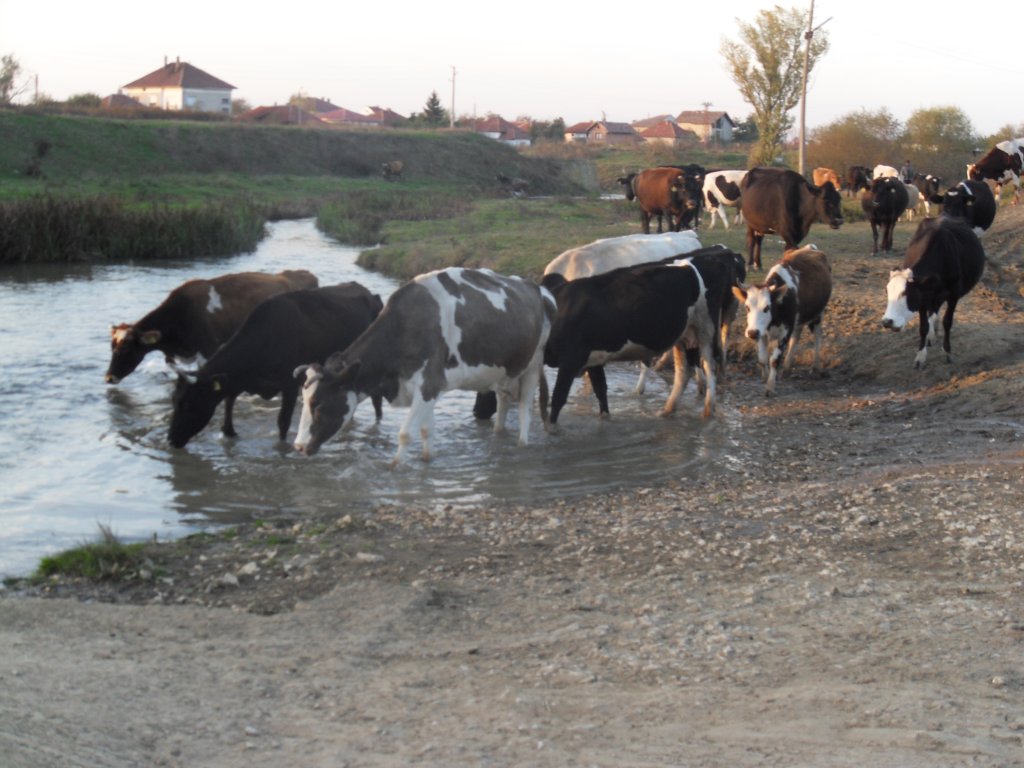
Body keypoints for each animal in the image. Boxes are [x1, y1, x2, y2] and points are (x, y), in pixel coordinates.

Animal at [168, 282, 384, 448]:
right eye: (174, 401)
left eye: (187, 404)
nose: (170, 440)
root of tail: (369, 293)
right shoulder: (238, 382)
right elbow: (228, 407)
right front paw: (229, 432)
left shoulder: (290, 385)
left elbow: (283, 422)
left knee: (377, 401)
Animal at [293, 268, 555, 464]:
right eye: (304, 401)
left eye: (318, 404)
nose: (298, 446)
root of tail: (536, 287)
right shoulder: (426, 389)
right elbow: (426, 431)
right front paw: (427, 462)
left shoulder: (430, 383)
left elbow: (406, 433)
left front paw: (395, 467)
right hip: (505, 370)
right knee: (503, 400)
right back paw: (499, 436)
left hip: (533, 364)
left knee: (525, 408)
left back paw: (521, 445)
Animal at [541, 260, 719, 425]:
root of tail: (685, 265)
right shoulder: (593, 360)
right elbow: (601, 391)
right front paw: (604, 418)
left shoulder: (571, 360)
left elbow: (558, 398)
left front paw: (552, 427)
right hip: (683, 338)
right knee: (684, 372)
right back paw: (667, 411)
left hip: (705, 329)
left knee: (709, 368)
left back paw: (707, 411)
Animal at [732, 246, 832, 397]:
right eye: (747, 307)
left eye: (767, 307)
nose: (751, 333)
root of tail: (810, 248)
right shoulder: (763, 332)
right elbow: (762, 358)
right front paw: (765, 376)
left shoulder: (785, 331)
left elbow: (774, 359)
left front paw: (770, 387)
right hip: (798, 320)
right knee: (796, 336)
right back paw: (787, 368)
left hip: (818, 314)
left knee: (818, 336)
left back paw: (815, 367)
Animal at [881, 216, 986, 369]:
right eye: (887, 292)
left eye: (906, 293)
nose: (887, 321)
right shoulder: (922, 298)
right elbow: (923, 327)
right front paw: (920, 356)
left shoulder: (953, 295)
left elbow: (947, 321)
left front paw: (947, 352)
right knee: (933, 311)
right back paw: (931, 334)